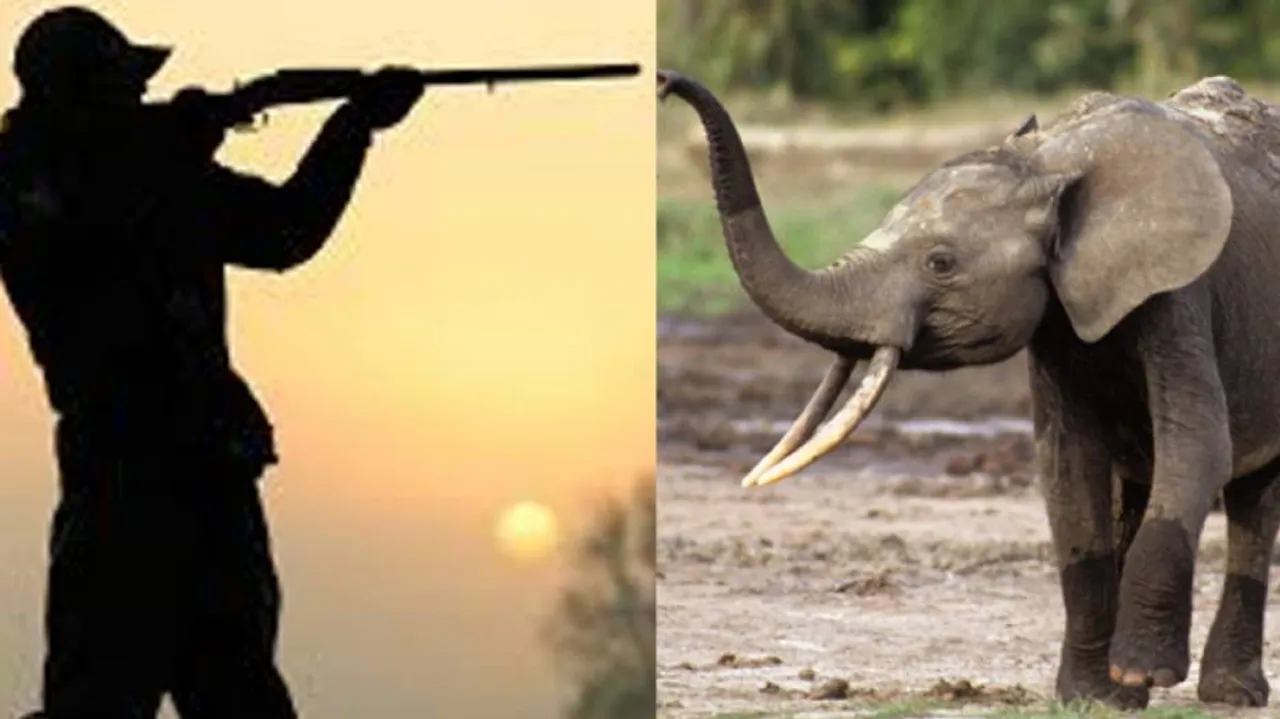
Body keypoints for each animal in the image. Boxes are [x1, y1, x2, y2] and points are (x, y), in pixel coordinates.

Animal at [657, 68, 1280, 709]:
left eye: (940, 263)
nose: (665, 81)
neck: (1048, 162)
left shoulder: (1180, 293)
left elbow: (1196, 448)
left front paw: (1138, 676)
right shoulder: (1055, 318)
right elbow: (1069, 466)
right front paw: (1090, 701)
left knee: (1251, 501)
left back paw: (1229, 695)